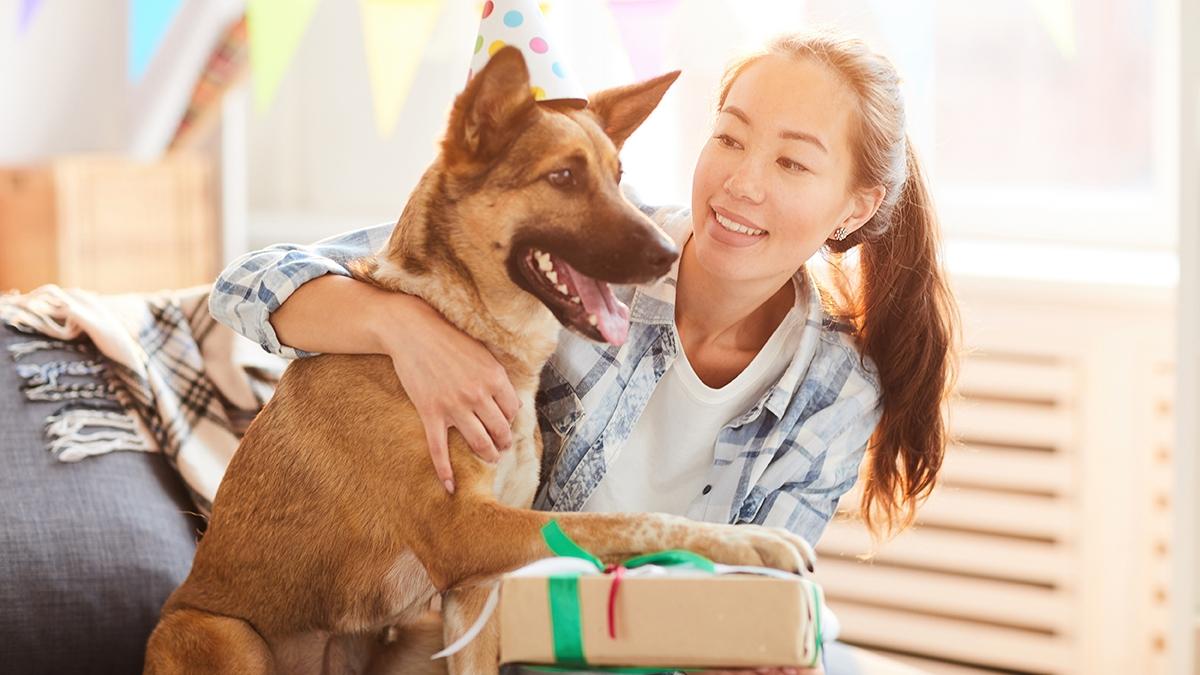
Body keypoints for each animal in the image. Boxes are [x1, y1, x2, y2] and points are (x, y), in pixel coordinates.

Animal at [142, 47, 816, 672]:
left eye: (617, 175)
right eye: (563, 177)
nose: (669, 253)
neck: (470, 327)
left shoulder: (475, 591)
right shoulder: (462, 531)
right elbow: (628, 521)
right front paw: (750, 543)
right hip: (227, 636)